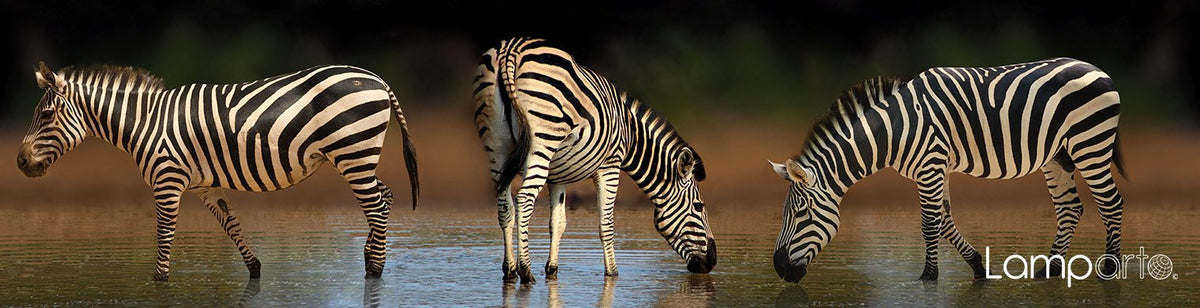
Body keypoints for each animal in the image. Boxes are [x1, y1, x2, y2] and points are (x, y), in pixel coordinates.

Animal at [15, 61, 422, 279]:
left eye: (46, 114)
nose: (19, 163)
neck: (146, 123)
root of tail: (377, 78)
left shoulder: (167, 180)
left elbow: (164, 234)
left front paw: (159, 280)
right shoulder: (203, 186)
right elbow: (231, 225)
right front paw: (255, 269)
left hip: (352, 151)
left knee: (376, 206)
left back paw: (376, 270)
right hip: (358, 156)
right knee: (384, 197)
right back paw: (369, 257)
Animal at [468, 37, 710, 281]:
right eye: (699, 206)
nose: (712, 263)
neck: (631, 135)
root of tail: (512, 49)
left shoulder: (557, 175)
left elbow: (558, 222)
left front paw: (552, 270)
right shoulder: (610, 165)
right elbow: (606, 223)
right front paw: (612, 272)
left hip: (495, 145)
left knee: (505, 206)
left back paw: (510, 270)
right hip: (542, 141)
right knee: (524, 200)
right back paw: (525, 271)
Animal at [768, 56, 1123, 280]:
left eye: (801, 213)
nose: (779, 269)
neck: (896, 129)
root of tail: (1098, 69)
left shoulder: (931, 165)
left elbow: (929, 224)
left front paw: (928, 276)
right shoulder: (938, 168)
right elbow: (944, 221)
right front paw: (979, 268)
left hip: (1090, 143)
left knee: (1111, 203)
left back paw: (1110, 270)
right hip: (1058, 155)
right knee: (1070, 208)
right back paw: (1049, 270)